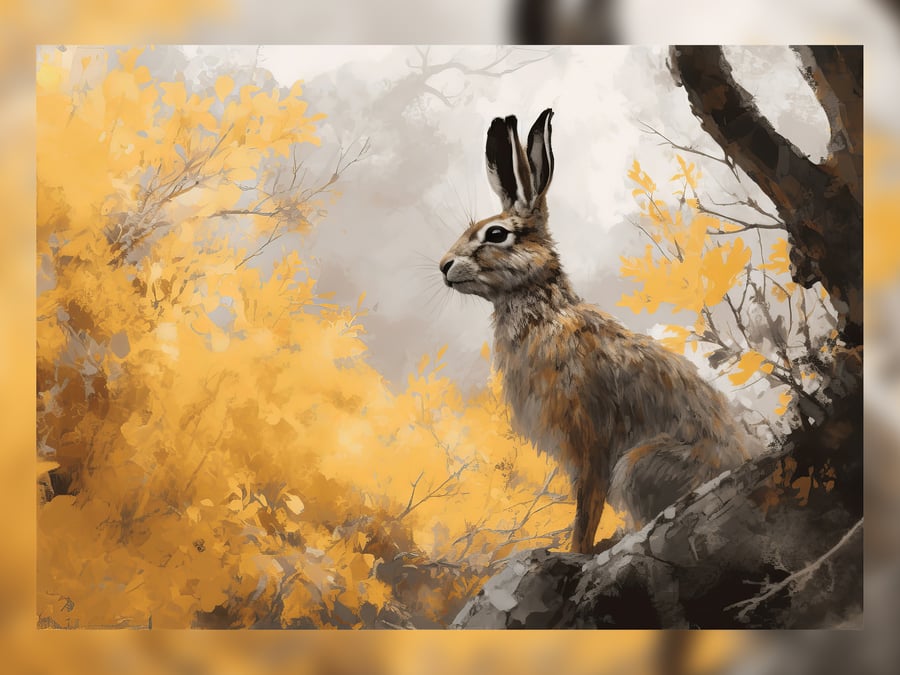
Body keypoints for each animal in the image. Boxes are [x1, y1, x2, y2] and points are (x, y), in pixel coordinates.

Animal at [438, 109, 754, 554]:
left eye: (496, 234)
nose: (444, 266)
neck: (546, 311)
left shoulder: (589, 435)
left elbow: (586, 504)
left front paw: (576, 552)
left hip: (638, 467)